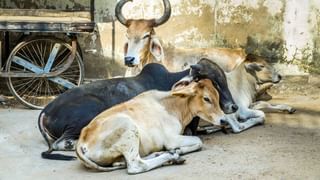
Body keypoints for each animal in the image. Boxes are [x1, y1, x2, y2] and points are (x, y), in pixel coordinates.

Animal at [76, 77, 224, 174]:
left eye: (217, 96)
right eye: (206, 98)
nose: (223, 120)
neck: (174, 105)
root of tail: (82, 139)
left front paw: (176, 151)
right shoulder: (171, 139)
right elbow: (199, 141)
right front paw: (177, 150)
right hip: (128, 127)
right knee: (137, 165)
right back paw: (170, 156)